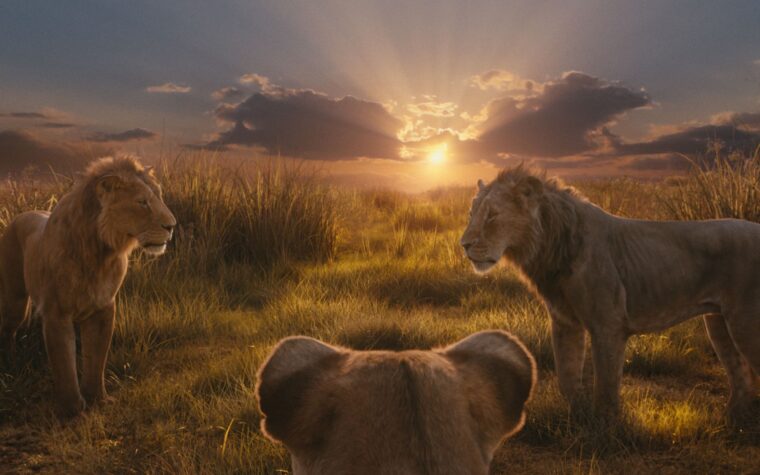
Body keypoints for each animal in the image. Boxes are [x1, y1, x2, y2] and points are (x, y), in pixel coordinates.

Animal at [0, 156, 176, 417]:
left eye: (159, 196)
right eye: (142, 202)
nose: (172, 226)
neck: (100, 252)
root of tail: (21, 214)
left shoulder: (103, 308)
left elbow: (96, 358)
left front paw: (98, 399)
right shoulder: (56, 313)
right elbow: (64, 363)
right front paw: (72, 409)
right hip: (15, 301)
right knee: (8, 330)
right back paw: (10, 364)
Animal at [461, 165, 760, 423]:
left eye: (492, 215)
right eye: (471, 213)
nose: (463, 244)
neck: (550, 246)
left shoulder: (608, 324)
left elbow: (605, 384)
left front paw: (605, 428)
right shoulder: (565, 322)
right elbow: (566, 376)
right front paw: (578, 419)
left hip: (745, 323)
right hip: (718, 323)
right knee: (741, 376)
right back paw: (732, 422)